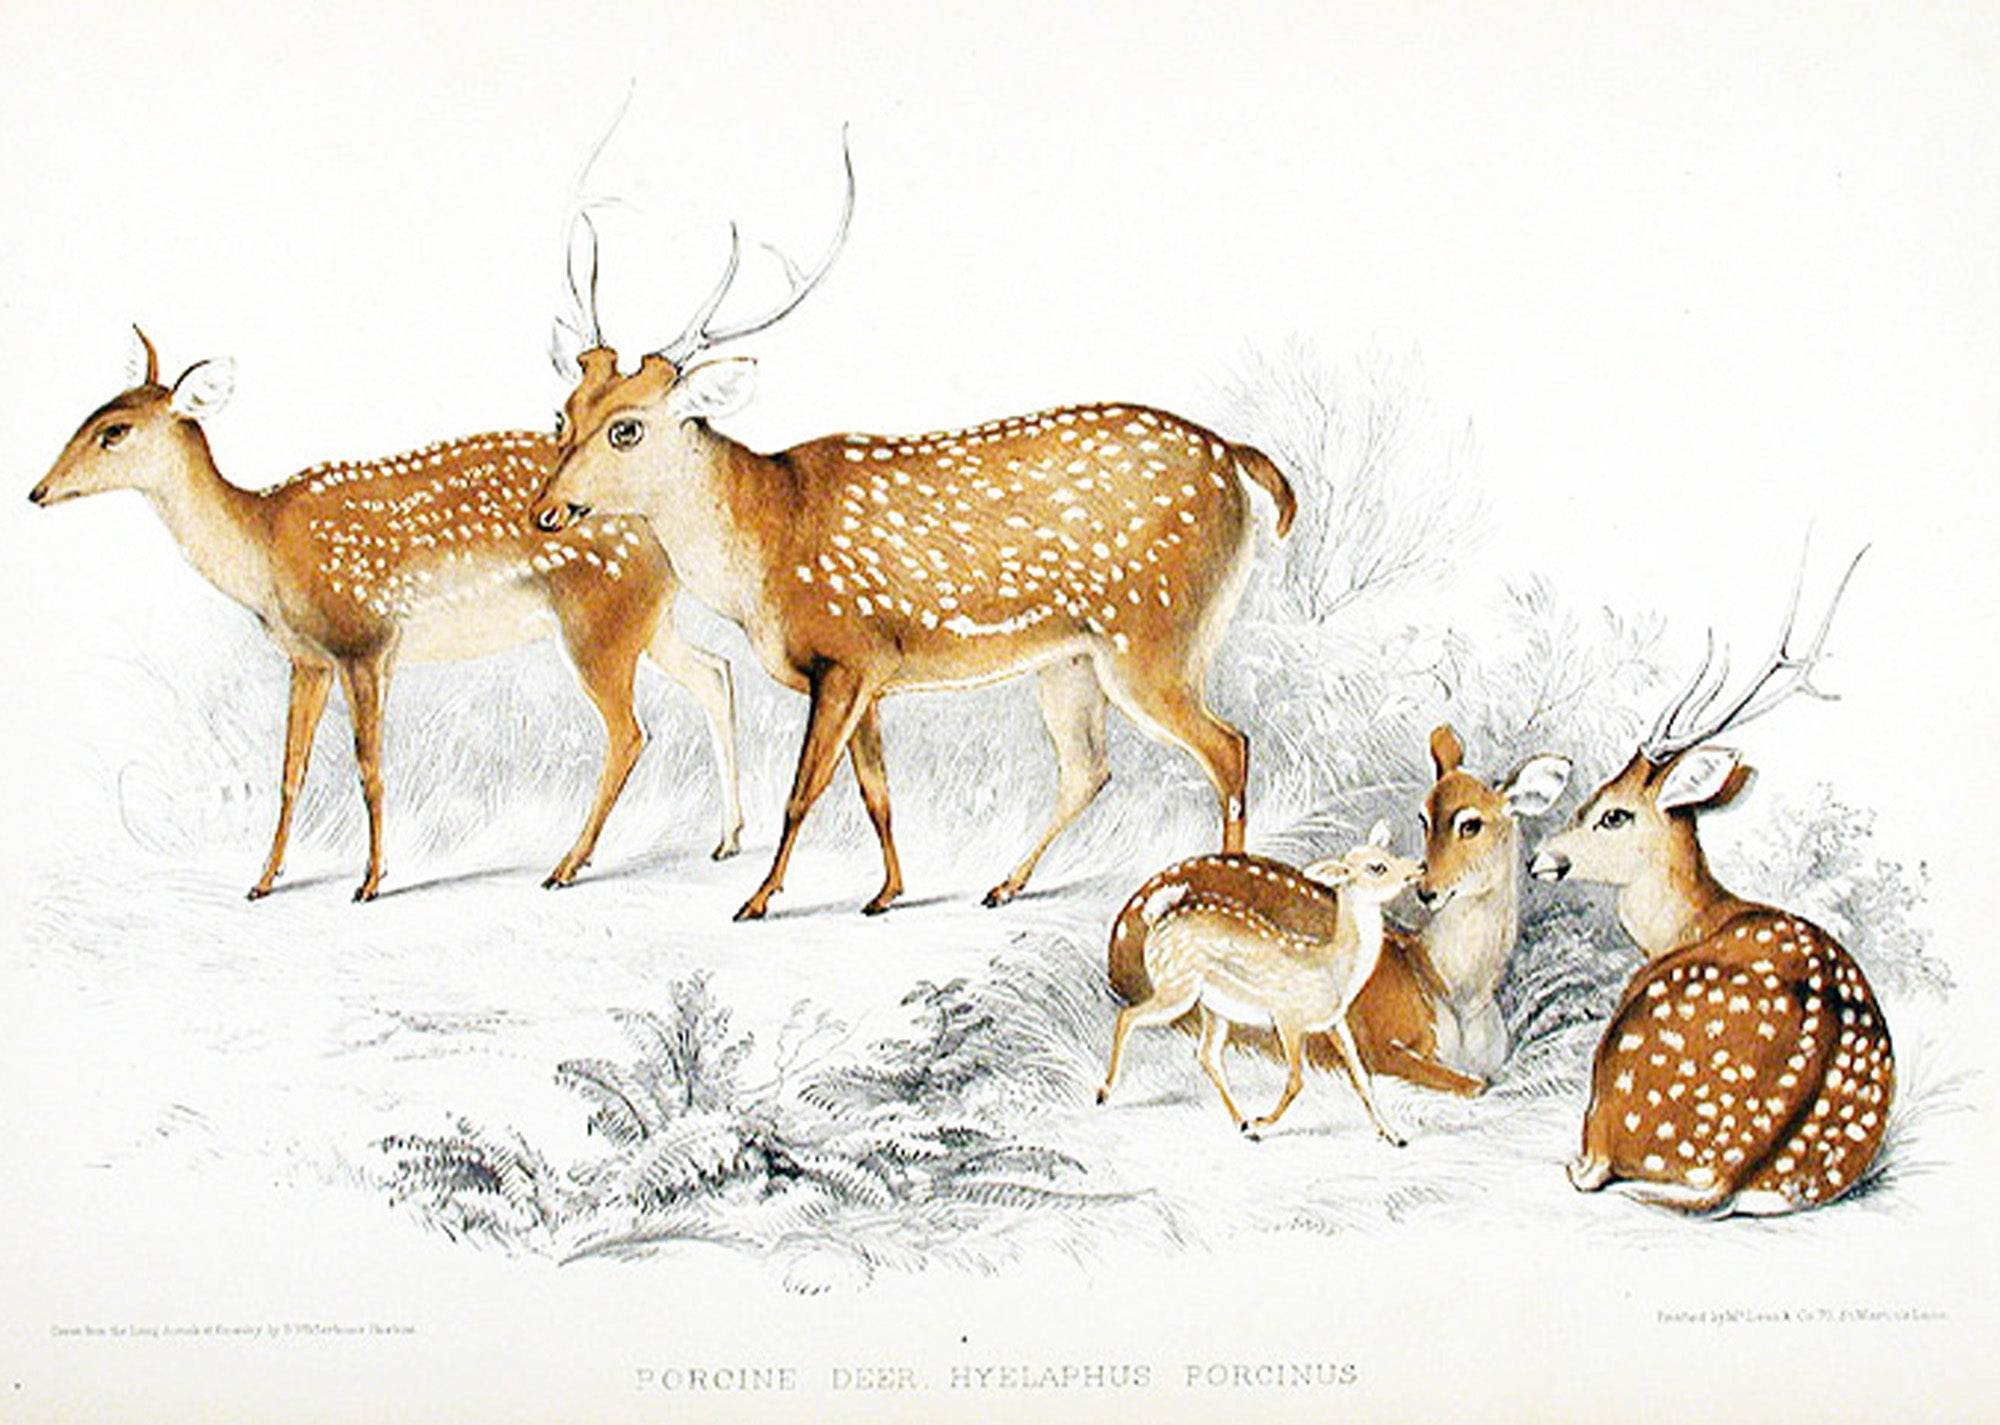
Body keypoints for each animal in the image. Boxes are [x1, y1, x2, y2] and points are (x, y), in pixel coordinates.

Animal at [28, 326, 744, 902]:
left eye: (113, 432)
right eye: (91, 414)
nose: (37, 490)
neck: (262, 545)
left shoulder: (365, 640)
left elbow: (369, 767)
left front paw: (371, 882)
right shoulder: (307, 658)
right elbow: (290, 772)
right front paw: (264, 881)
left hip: (599, 619)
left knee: (630, 732)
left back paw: (566, 866)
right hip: (649, 619)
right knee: (715, 671)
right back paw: (728, 838)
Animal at [526, 138, 1298, 921]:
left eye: (627, 428)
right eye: (565, 412)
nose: (545, 512)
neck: (764, 543)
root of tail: (1236, 456)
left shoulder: (844, 651)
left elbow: (803, 791)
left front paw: (759, 898)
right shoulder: (870, 668)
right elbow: (876, 791)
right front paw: (887, 892)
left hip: (1157, 633)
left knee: (1229, 746)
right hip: (1074, 658)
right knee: (1090, 767)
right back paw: (1004, 884)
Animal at [1096, 822, 1421, 1142]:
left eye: (1389, 854)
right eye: (1377, 867)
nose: (1418, 867)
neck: (1335, 970)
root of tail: (1156, 916)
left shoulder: (1335, 1022)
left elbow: (1361, 1076)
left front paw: (1393, 1134)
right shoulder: (1288, 1017)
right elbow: (1296, 1080)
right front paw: (1262, 1123)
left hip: (1212, 1006)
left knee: (1206, 1054)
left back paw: (1241, 1122)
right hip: (1176, 986)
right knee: (1128, 1016)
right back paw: (1104, 1093)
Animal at [1105, 724, 1570, 1099]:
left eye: (1471, 823)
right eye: (1423, 817)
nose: (1426, 890)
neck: (1453, 993)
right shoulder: (1376, 1042)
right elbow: (1475, 1085)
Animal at [1528, 549, 1894, 1216]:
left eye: (1613, 814)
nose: (1543, 857)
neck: (1691, 922)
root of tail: (1730, 1172)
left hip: (1613, 1079)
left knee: (1593, 1164)